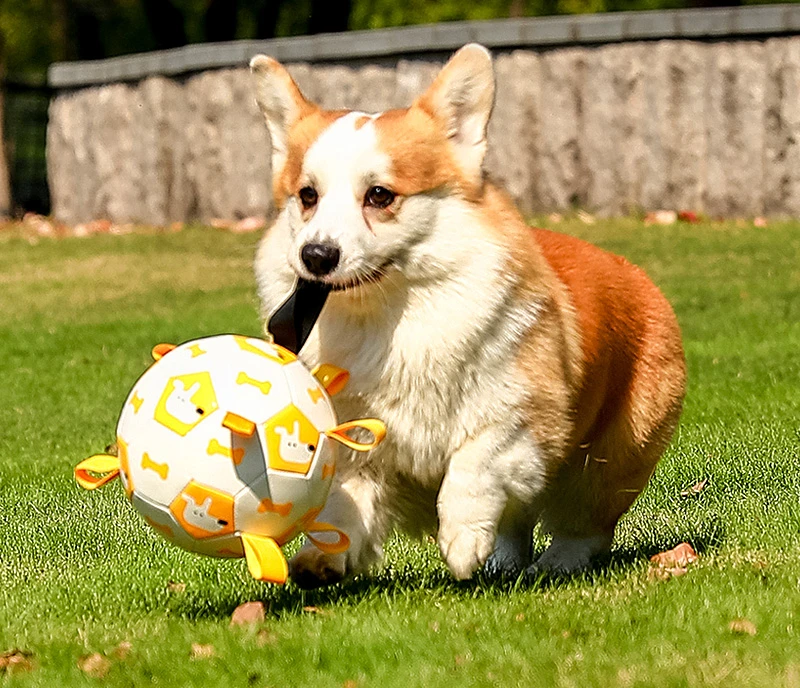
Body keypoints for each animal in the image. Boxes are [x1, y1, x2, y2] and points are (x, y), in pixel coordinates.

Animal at [250, 45, 688, 588]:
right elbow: (346, 505)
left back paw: (555, 562)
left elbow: (473, 464)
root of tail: (638, 275)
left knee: (581, 523)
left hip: (606, 462)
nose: (315, 256)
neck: (391, 315)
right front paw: (322, 557)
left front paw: (461, 540)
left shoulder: (523, 417)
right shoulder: (357, 438)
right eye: (307, 196)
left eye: (379, 195)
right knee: (518, 521)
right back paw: (503, 560)